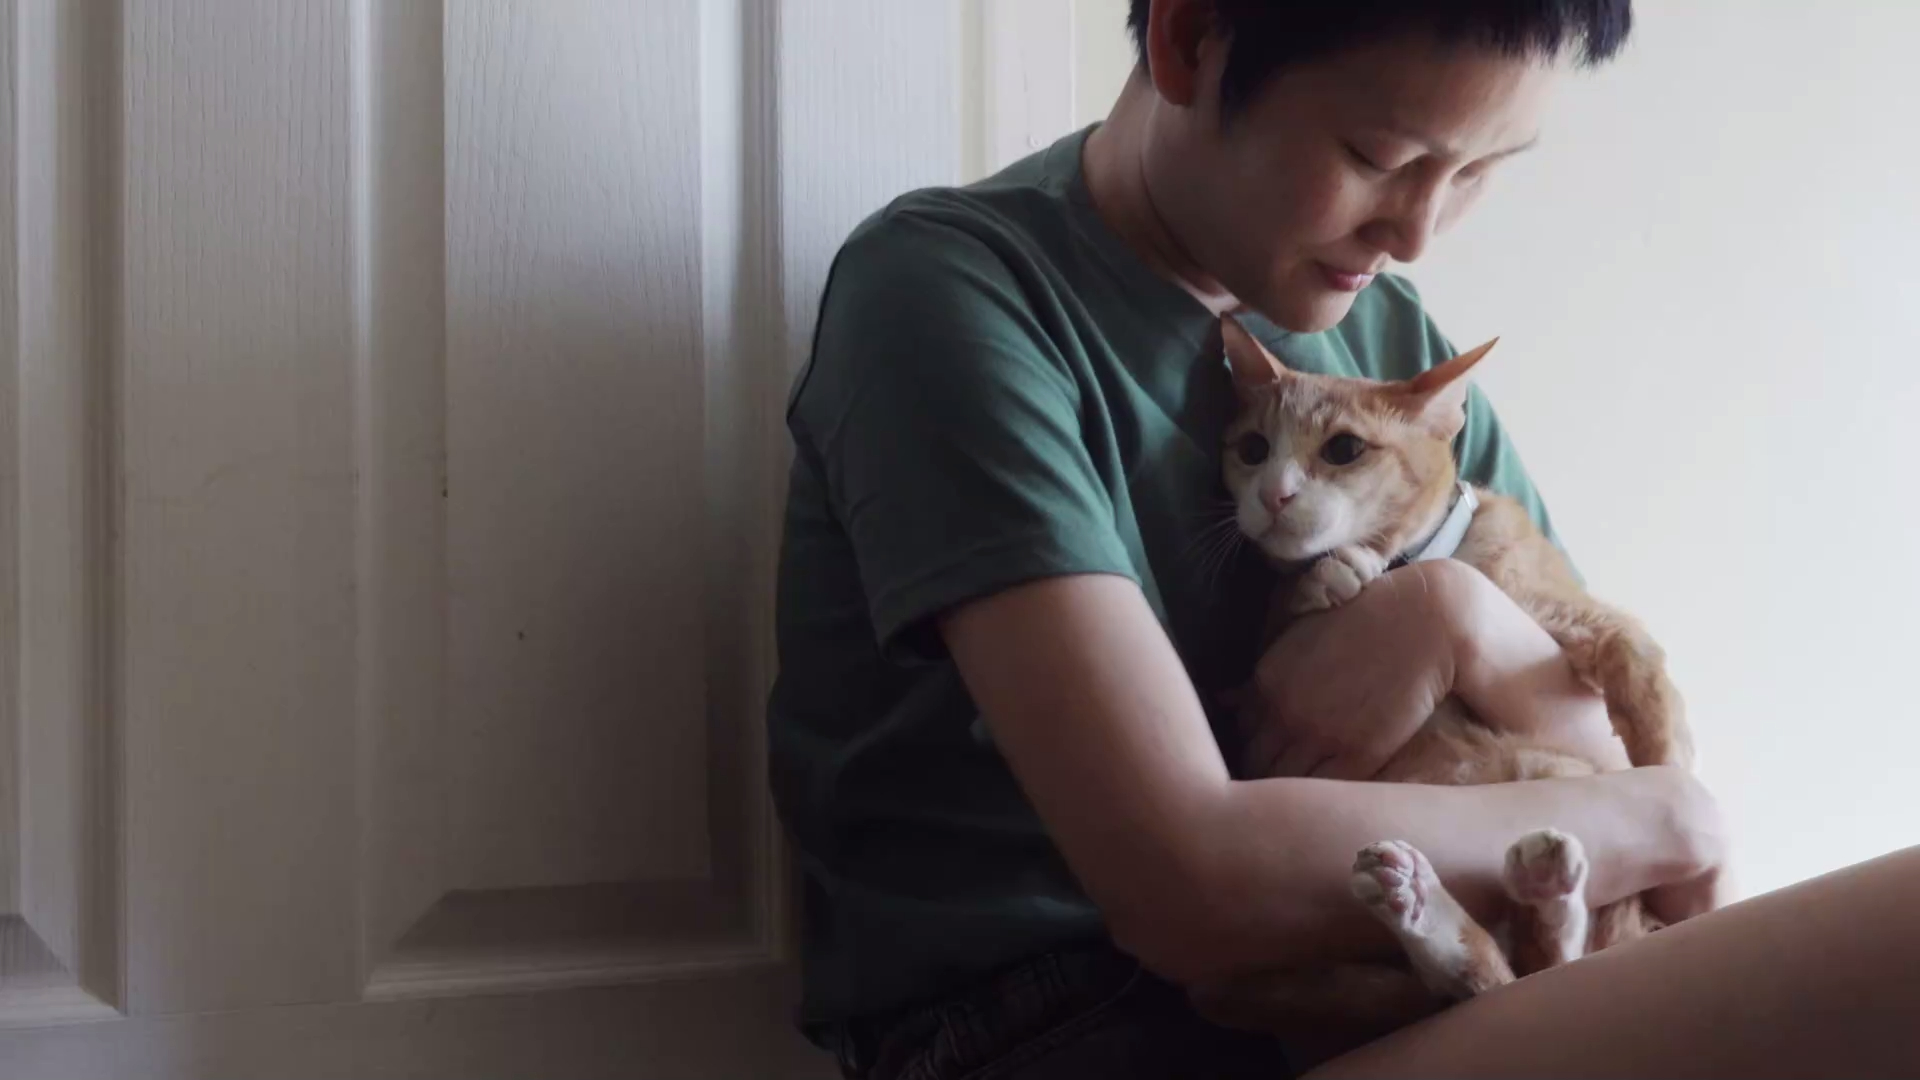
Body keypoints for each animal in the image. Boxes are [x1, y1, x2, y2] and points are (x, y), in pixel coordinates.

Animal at [1191, 315, 1695, 1059]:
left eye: (1343, 449)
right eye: (1253, 449)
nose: (1272, 495)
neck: (1414, 558)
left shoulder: (1571, 616)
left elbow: (1637, 665)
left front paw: (1670, 771)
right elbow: (1285, 608)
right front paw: (1320, 579)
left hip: (1548, 768)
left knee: (1537, 962)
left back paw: (1516, 894)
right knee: (1496, 976)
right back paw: (1429, 905)